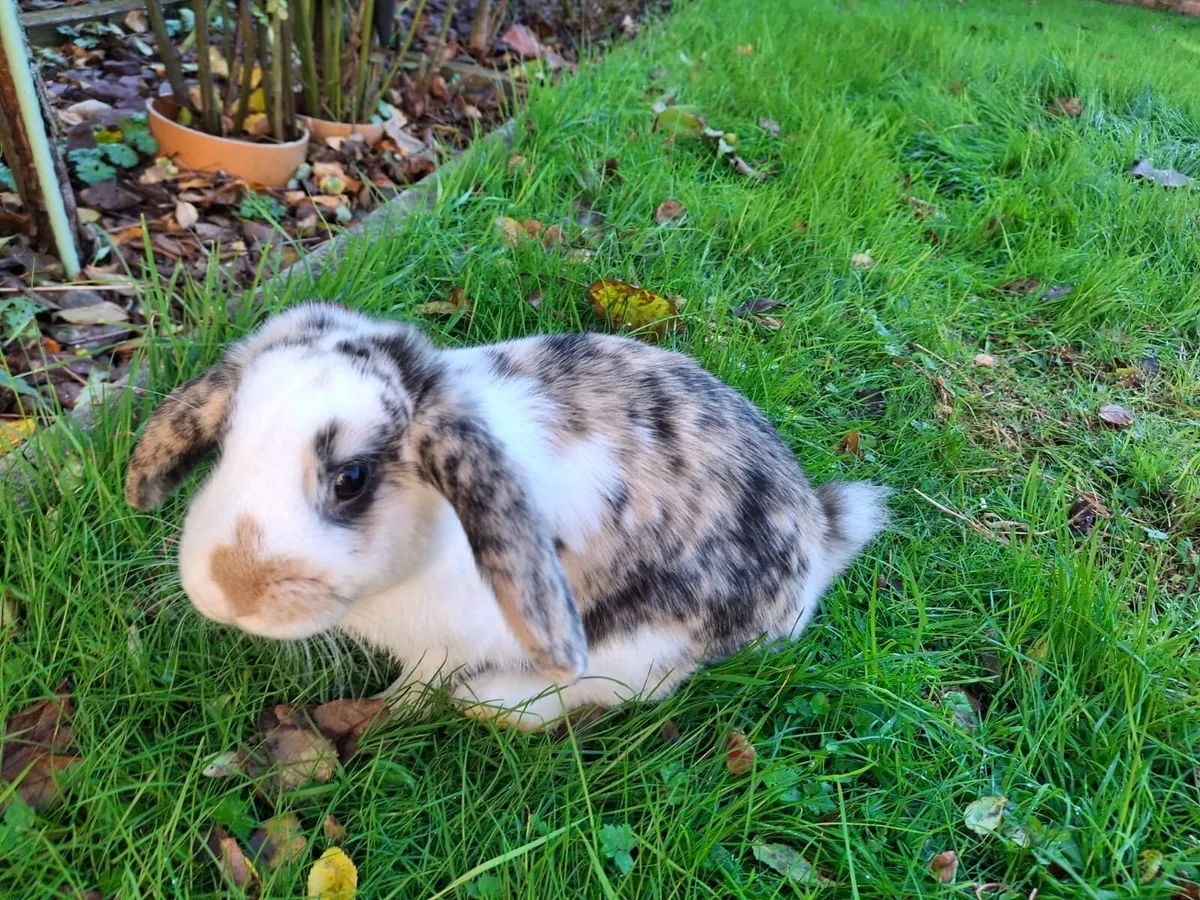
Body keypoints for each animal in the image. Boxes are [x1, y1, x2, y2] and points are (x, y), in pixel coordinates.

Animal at [125, 301, 888, 730]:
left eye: (351, 479)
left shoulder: (442, 649)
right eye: (225, 443)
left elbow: (416, 690)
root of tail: (817, 541)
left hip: (650, 643)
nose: (224, 589)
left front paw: (383, 718)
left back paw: (495, 703)